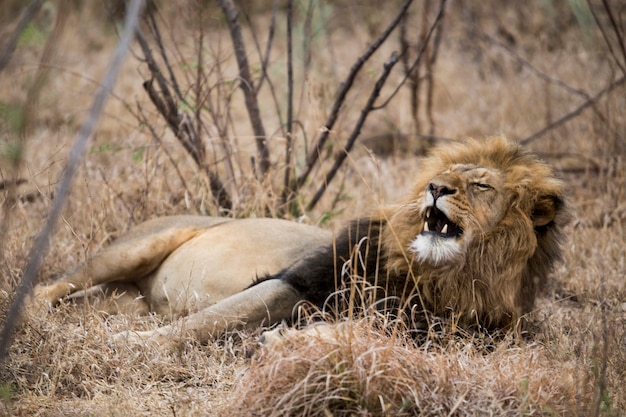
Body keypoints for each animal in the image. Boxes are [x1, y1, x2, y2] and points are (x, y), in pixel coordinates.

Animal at [31, 135, 568, 342]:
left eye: (481, 185)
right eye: (444, 175)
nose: (435, 188)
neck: (440, 274)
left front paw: (272, 343)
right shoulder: (299, 280)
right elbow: (198, 325)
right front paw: (125, 346)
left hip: (125, 296)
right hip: (133, 248)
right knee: (53, 284)